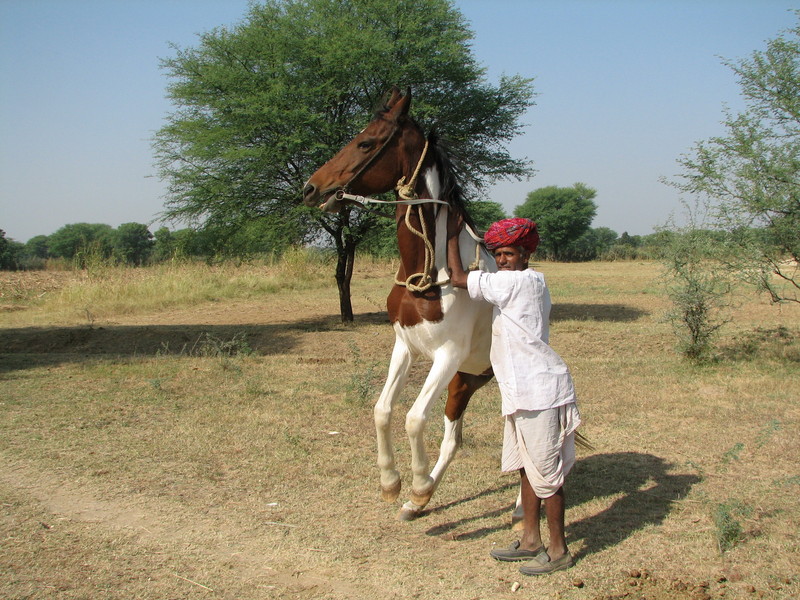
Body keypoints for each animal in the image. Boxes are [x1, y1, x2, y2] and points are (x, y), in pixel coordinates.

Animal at [304, 85, 496, 520]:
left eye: (366, 142)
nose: (311, 187)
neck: (429, 272)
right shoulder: (405, 346)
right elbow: (382, 410)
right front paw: (393, 483)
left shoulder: (447, 355)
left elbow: (413, 418)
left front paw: (417, 481)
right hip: (464, 380)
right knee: (454, 438)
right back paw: (418, 502)